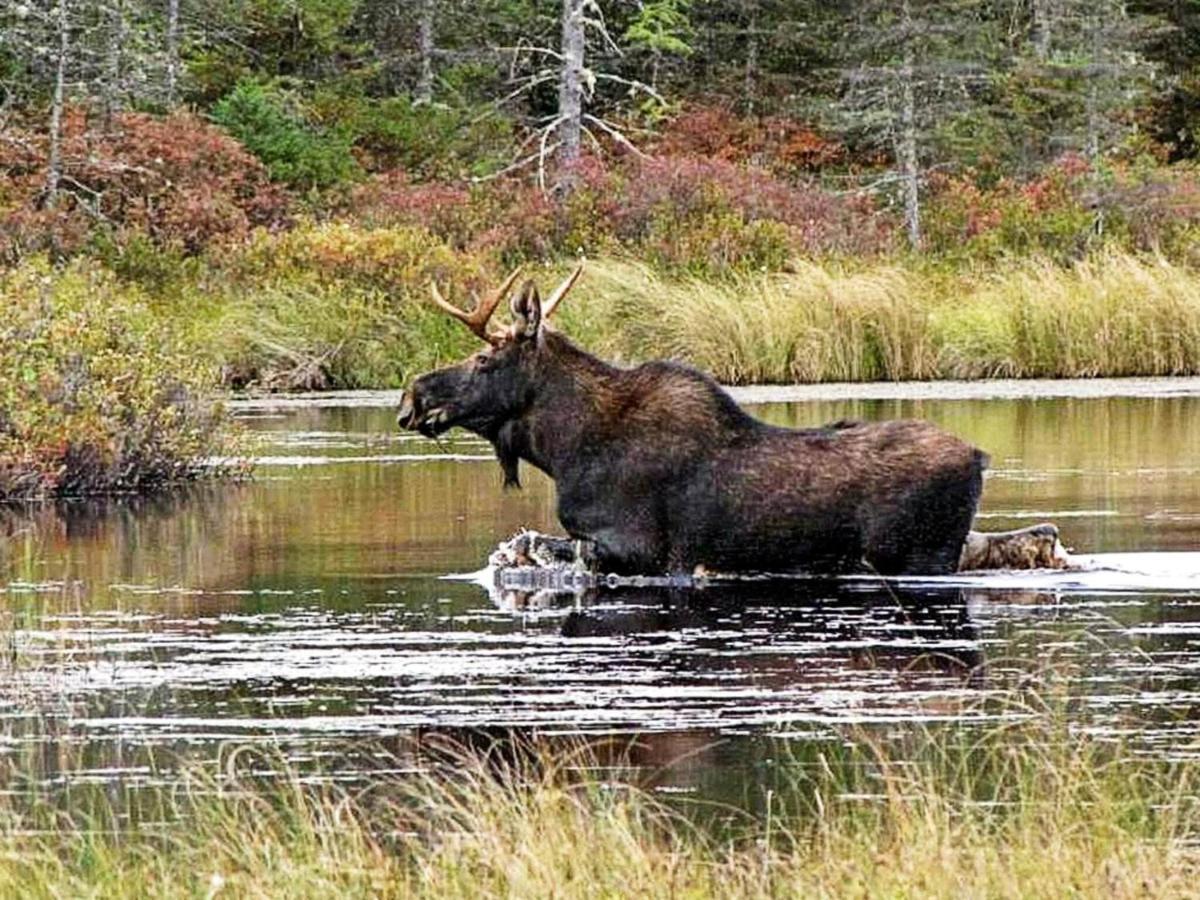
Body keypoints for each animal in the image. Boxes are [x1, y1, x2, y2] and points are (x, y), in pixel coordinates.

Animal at [396, 267, 1060, 578]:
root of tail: (980, 458)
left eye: (484, 359)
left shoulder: (637, 548)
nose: (413, 396)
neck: (563, 449)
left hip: (917, 554)